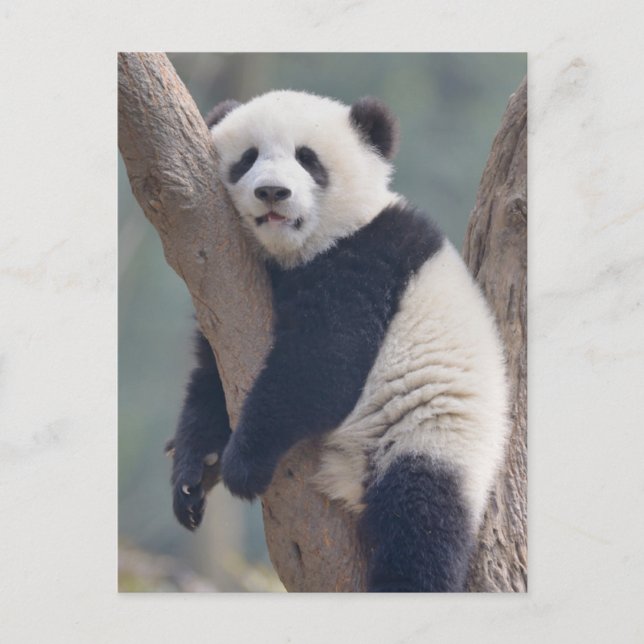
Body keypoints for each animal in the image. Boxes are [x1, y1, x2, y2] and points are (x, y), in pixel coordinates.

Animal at [166, 90, 509, 592]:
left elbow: (322, 366)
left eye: (307, 159)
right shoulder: (226, 294)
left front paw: (242, 463)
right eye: (248, 159)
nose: (273, 192)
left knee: (421, 522)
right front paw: (193, 473)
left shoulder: (369, 260)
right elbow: (212, 376)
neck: (300, 251)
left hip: (432, 436)